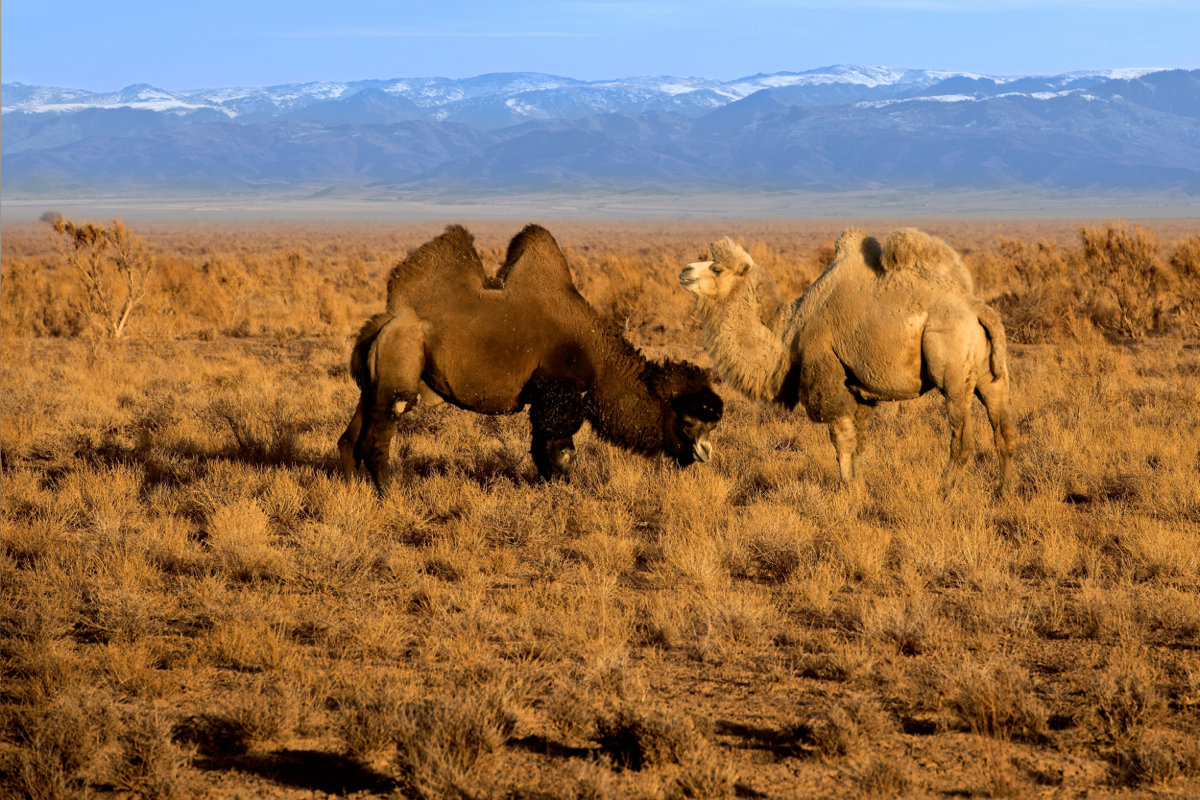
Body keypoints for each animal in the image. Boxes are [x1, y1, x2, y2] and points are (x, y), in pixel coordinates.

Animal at [343, 221, 724, 491]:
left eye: (710, 422)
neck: (601, 362)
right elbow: (562, 453)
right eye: (688, 420)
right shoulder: (557, 392)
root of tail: (385, 321)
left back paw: (349, 487)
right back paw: (389, 494)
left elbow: (545, 450)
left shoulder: (548, 397)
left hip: (374, 384)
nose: (705, 452)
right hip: (400, 365)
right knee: (380, 433)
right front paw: (556, 491)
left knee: (351, 437)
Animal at [676, 225, 1012, 496]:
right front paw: (860, 486)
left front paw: (848, 490)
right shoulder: (858, 389)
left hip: (952, 370)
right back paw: (1002, 493)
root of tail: (978, 308)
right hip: (991, 376)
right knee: (1004, 430)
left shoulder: (827, 375)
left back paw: (942, 492)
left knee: (962, 439)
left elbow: (841, 441)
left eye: (717, 269)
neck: (789, 331)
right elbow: (859, 442)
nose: (684, 271)